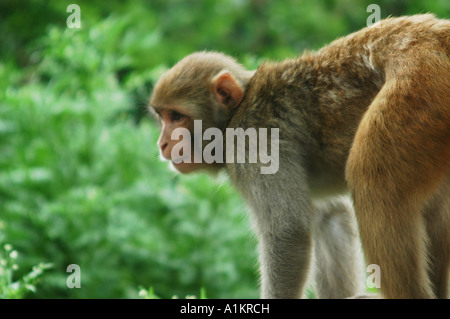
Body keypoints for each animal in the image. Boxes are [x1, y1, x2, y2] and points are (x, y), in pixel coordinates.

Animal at [150, 14, 450, 300]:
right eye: (161, 116)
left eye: (176, 117)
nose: (162, 144)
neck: (235, 113)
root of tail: (436, 37)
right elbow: (330, 214)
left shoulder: (251, 143)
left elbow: (288, 232)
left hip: (418, 91)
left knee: (373, 181)